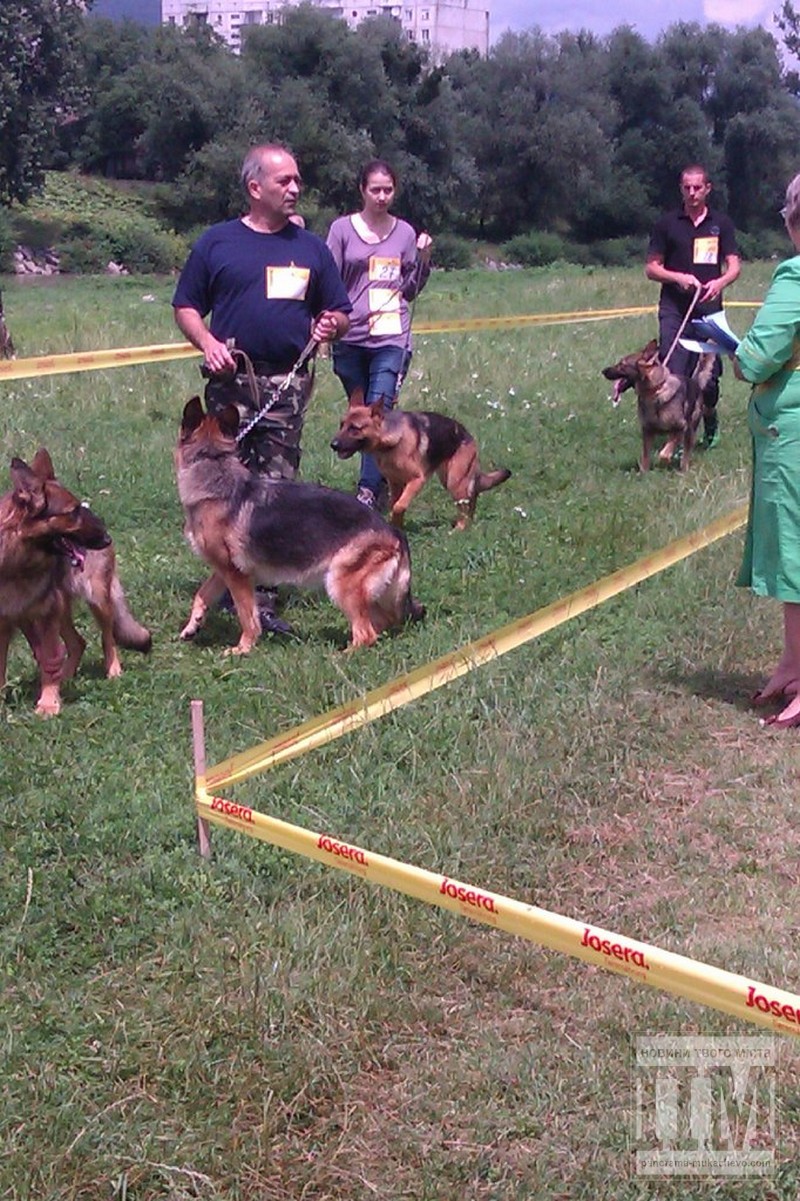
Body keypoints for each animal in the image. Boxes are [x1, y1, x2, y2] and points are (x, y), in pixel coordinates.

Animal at [0, 449, 151, 710]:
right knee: (76, 643)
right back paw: (66, 676)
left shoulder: (45, 616)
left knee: (107, 637)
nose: (106, 539)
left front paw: (48, 704)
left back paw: (112, 671)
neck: (15, 562)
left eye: (79, 509)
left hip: (95, 599)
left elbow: (50, 659)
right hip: (55, 611)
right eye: (72, 512)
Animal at [174, 398, 422, 653]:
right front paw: (192, 626)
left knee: (366, 634)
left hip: (340, 583)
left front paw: (243, 648)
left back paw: (340, 655)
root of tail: (393, 531)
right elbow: (202, 595)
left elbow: (247, 615)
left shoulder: (236, 574)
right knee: (379, 625)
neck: (213, 465)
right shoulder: (223, 570)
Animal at [331, 389, 511, 530]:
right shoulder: (395, 483)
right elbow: (394, 505)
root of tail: (468, 435)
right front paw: (397, 528)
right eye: (341, 425)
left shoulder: (416, 480)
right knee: (472, 496)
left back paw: (460, 528)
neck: (391, 442)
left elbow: (399, 506)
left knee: (466, 503)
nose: (333, 445)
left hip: (454, 481)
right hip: (449, 479)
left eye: (355, 428)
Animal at [598, 343, 711, 473]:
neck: (655, 391)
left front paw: (665, 460)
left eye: (622, 364)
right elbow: (645, 457)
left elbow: (664, 453)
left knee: (685, 454)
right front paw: (643, 474)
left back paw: (683, 470)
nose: (603, 371)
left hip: (690, 431)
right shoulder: (647, 431)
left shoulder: (681, 427)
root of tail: (695, 382)